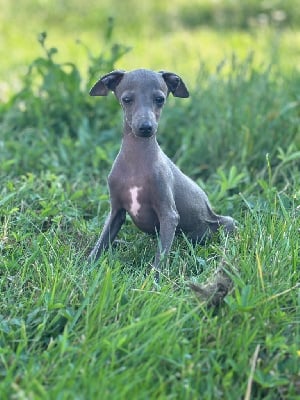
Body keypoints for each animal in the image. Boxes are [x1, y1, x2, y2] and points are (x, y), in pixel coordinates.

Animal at [88, 69, 236, 280]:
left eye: (160, 99)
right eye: (127, 99)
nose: (146, 127)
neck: (136, 159)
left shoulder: (169, 214)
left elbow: (162, 254)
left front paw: (154, 280)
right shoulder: (116, 210)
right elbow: (101, 242)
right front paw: (86, 266)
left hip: (223, 224)